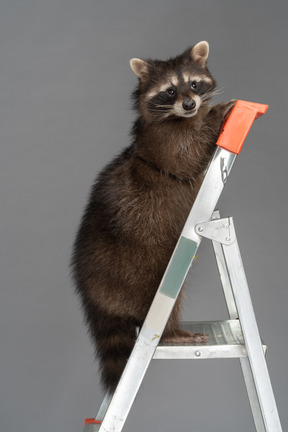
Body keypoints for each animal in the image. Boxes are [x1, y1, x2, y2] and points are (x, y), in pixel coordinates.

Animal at [71, 41, 235, 394]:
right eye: (170, 90)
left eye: (193, 84)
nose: (189, 104)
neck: (178, 117)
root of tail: (95, 295)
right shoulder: (165, 143)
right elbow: (186, 158)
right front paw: (216, 113)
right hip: (143, 269)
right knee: (157, 300)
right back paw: (173, 333)